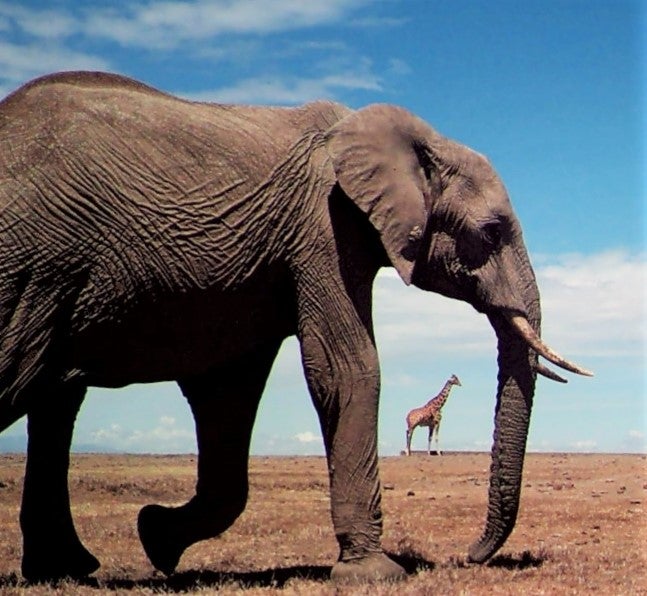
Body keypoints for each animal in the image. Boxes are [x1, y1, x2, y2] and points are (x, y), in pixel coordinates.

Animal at [0, 72, 592, 584]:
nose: (469, 556)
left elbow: (228, 396)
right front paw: (374, 575)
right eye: (491, 232)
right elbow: (347, 370)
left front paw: (156, 537)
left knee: (57, 403)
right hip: (28, 272)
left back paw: (67, 569)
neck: (414, 139)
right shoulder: (323, 230)